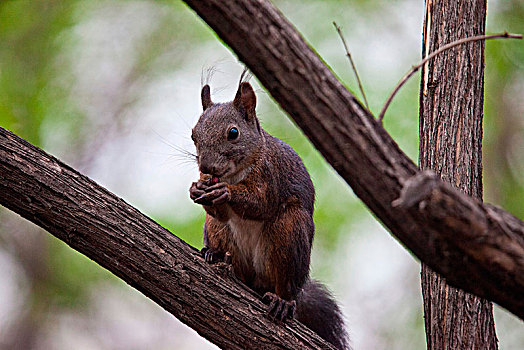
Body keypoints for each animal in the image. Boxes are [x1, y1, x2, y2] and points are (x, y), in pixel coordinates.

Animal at [188, 80, 348, 350]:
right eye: (193, 134)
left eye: (233, 133)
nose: (206, 167)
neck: (235, 173)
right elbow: (219, 212)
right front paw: (196, 189)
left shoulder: (271, 175)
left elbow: (261, 203)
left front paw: (226, 192)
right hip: (217, 231)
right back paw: (215, 254)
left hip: (289, 233)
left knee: (283, 283)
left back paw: (282, 300)